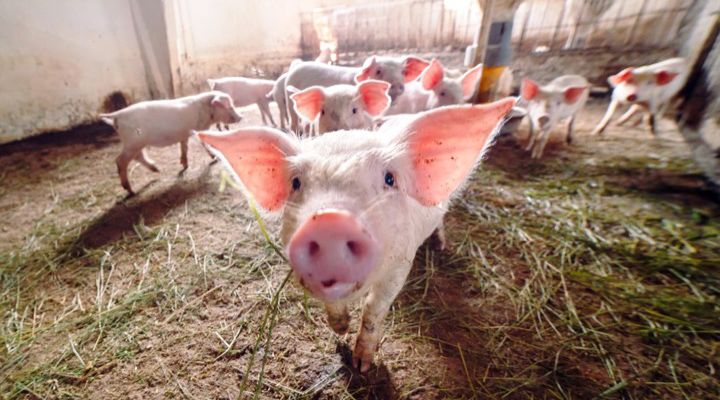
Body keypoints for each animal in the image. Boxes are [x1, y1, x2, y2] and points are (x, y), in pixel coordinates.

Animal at [100, 91, 242, 195]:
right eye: (228, 105)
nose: (240, 117)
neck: (206, 111)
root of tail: (118, 115)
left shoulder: (185, 134)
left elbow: (184, 147)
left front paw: (184, 165)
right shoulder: (198, 129)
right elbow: (202, 143)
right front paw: (214, 158)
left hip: (135, 144)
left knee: (138, 156)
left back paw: (156, 169)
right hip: (132, 143)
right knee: (120, 161)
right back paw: (131, 191)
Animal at [197, 97, 516, 372]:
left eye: (389, 178)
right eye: (296, 183)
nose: (330, 221)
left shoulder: (401, 264)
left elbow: (374, 309)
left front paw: (362, 365)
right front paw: (340, 330)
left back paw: (439, 245)